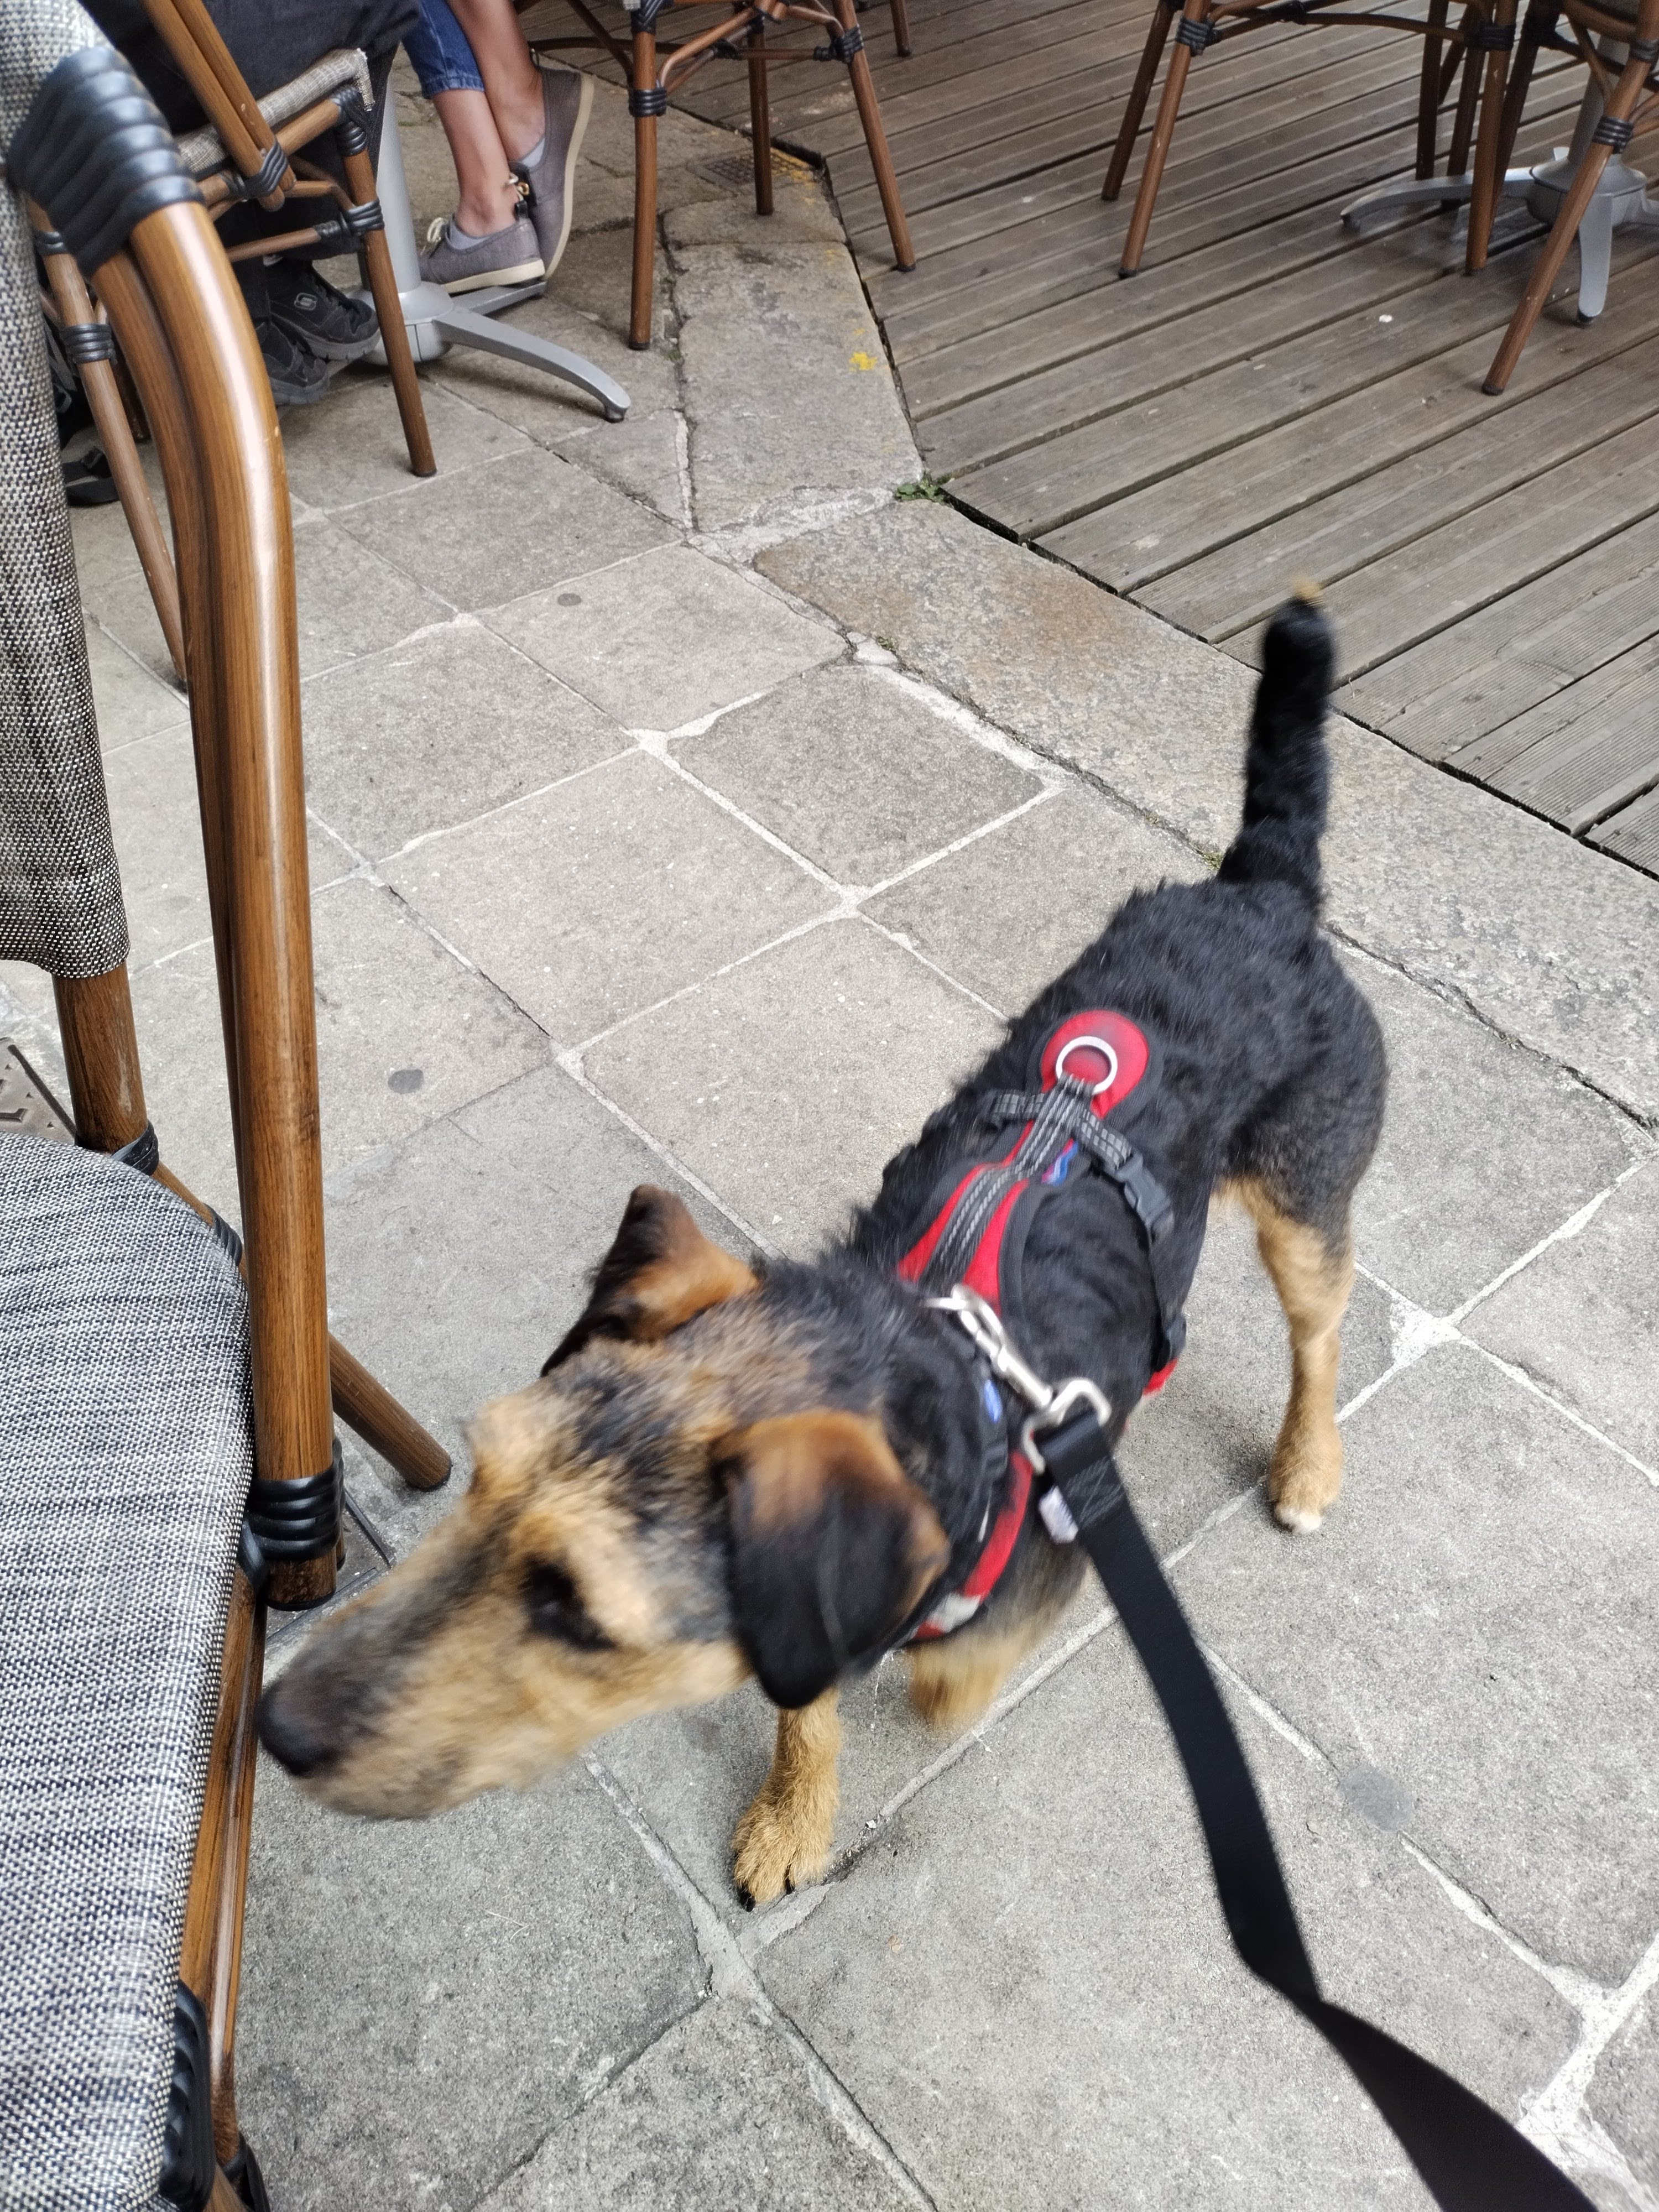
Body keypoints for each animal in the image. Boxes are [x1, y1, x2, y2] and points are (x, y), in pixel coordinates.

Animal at [258, 591, 1386, 1909]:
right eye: (479, 1475)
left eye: (578, 1611)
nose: (275, 1723)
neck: (959, 1385)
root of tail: (1262, 887)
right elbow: (813, 1697)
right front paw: (794, 1815)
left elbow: (947, 1678)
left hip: (1306, 1199)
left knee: (1321, 1333)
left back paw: (1306, 1467)